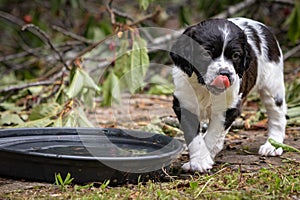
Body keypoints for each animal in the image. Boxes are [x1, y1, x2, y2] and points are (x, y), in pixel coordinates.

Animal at [170, 17, 288, 172]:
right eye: (206, 53)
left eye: (236, 55)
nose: (225, 74)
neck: (205, 88)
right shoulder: (185, 103)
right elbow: (194, 135)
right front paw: (199, 160)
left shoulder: (228, 108)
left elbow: (212, 135)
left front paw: (202, 159)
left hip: (272, 85)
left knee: (277, 115)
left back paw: (272, 145)